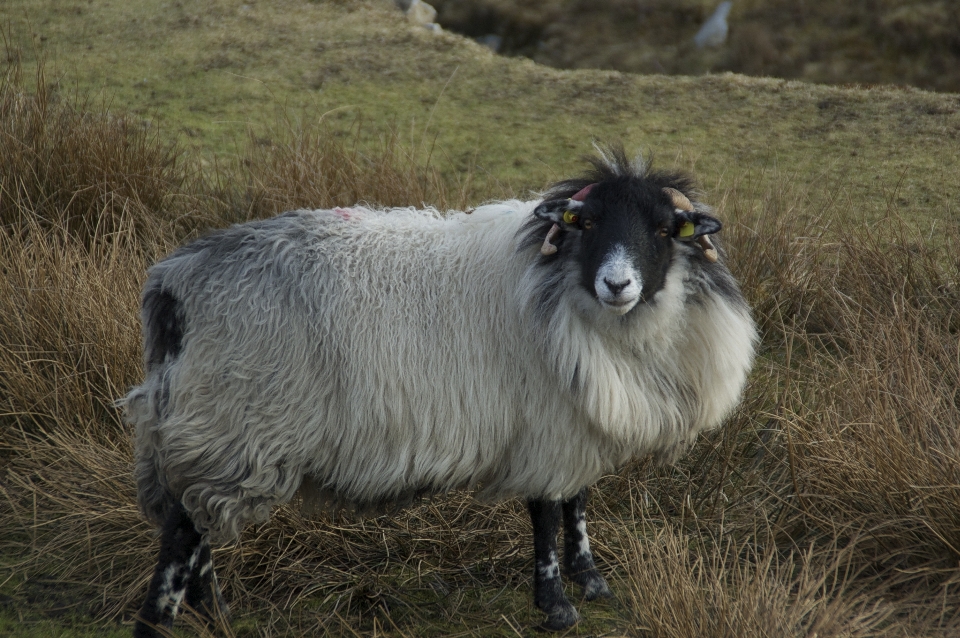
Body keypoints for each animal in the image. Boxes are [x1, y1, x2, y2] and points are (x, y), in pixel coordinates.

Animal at [124, 148, 756, 636]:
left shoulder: (573, 424)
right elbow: (547, 513)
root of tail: (175, 282)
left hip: (211, 429)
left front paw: (592, 581)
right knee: (183, 533)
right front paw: (556, 605)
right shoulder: (543, 426)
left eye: (661, 230)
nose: (617, 284)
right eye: (589, 225)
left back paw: (216, 614)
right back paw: (163, 621)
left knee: (198, 525)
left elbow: (576, 503)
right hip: (234, 420)